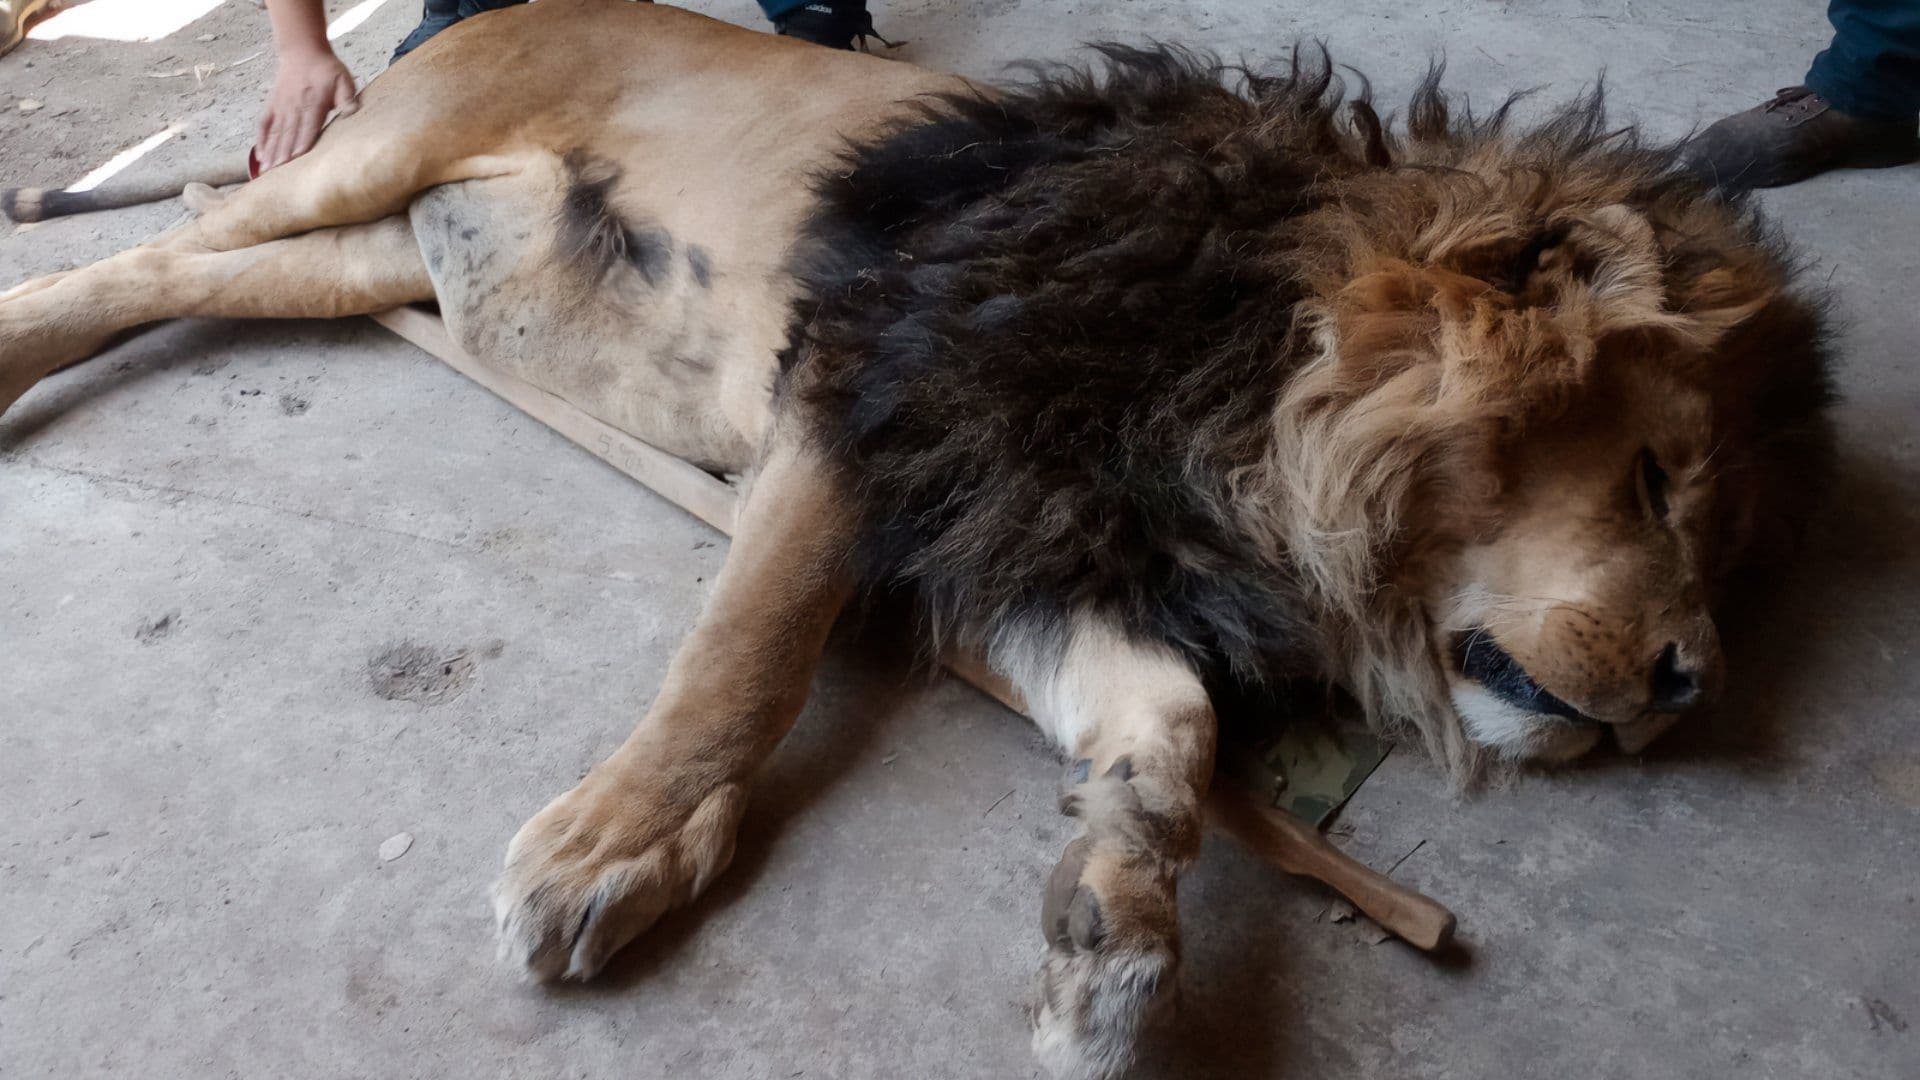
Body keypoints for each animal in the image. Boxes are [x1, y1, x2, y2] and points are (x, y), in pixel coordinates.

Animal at [0, 3, 1833, 1077]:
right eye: (1658, 483)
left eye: (1711, 529)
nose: (1690, 685)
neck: (1252, 422)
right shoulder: (877, 388)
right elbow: (746, 654)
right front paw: (607, 850)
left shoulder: (1037, 535)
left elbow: (1166, 727)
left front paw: (1106, 943)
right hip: (366, 161)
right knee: (137, 256)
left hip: (370, 257)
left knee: (169, 281)